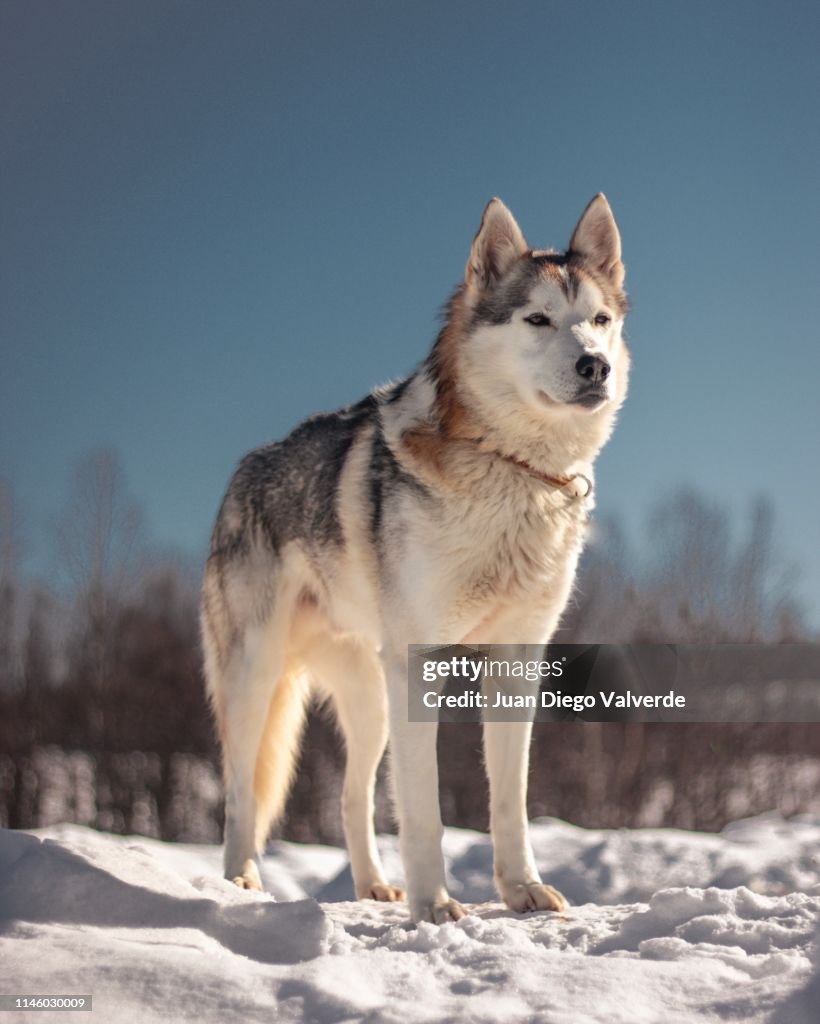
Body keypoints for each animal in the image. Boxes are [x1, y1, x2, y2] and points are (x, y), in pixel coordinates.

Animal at [201, 195, 630, 925]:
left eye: (598, 321)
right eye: (538, 319)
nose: (595, 365)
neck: (511, 466)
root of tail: (242, 471)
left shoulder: (518, 661)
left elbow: (509, 799)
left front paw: (522, 891)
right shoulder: (420, 665)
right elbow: (425, 807)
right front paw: (435, 906)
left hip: (369, 699)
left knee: (350, 797)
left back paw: (373, 887)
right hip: (256, 680)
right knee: (240, 795)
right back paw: (241, 884)